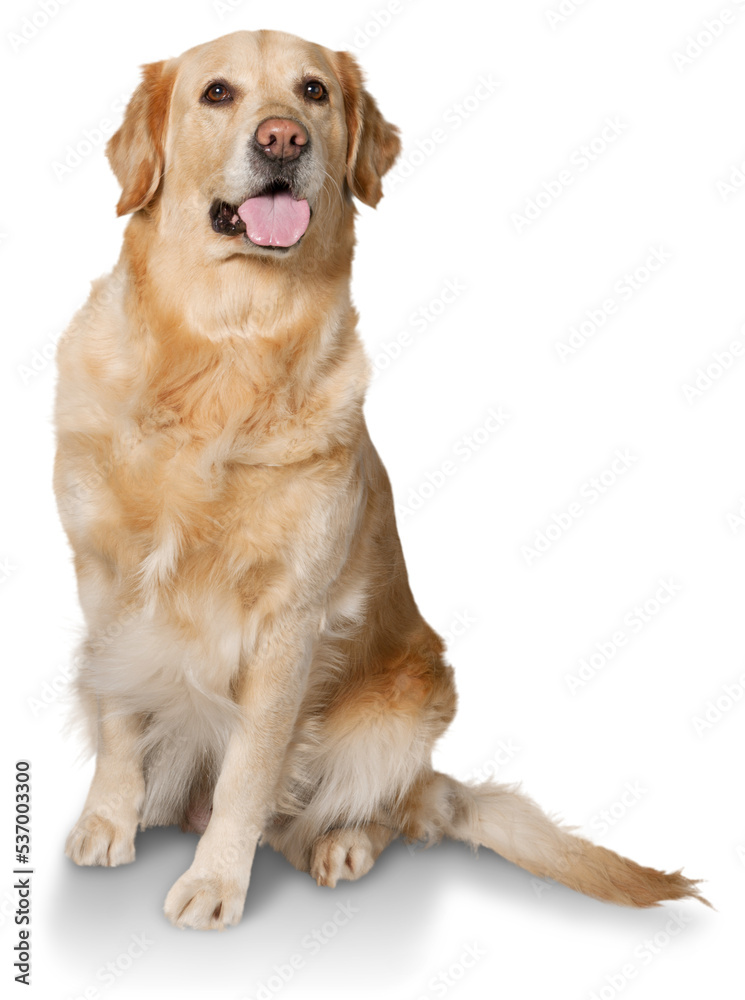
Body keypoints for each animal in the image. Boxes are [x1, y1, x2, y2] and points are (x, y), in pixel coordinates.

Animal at [53, 25, 704, 928]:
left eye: (313, 92)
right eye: (217, 93)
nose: (281, 140)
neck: (224, 350)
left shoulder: (289, 618)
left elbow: (251, 769)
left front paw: (215, 883)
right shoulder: (104, 580)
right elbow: (117, 716)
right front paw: (107, 823)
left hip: (407, 706)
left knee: (382, 810)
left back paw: (342, 842)